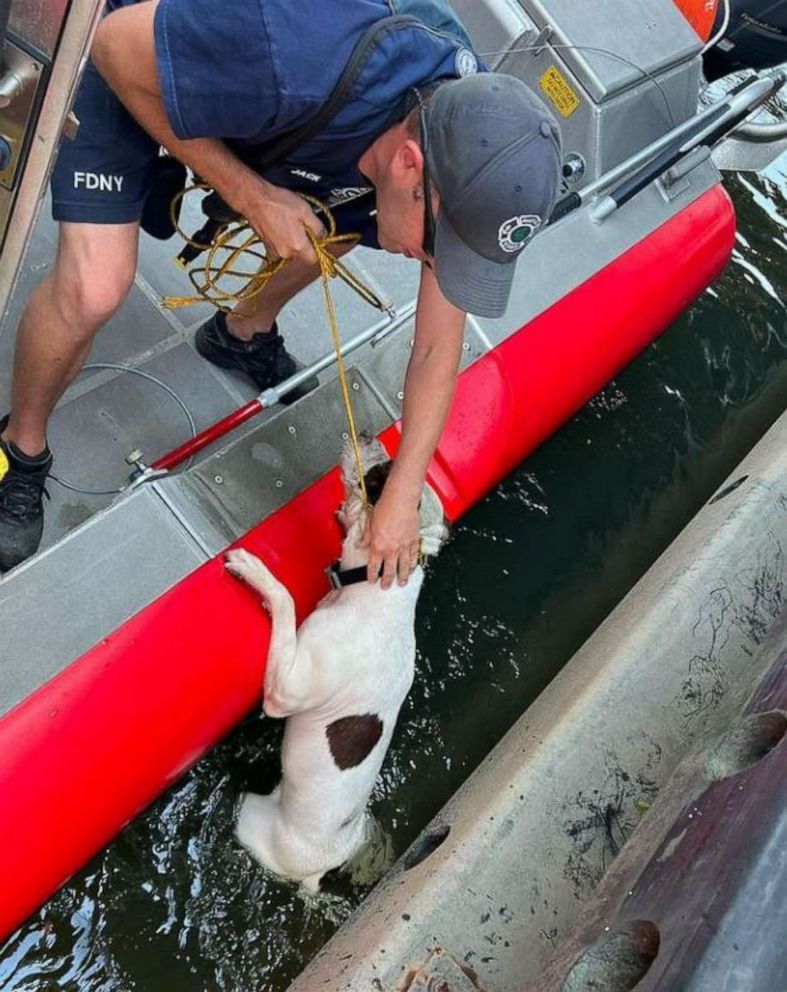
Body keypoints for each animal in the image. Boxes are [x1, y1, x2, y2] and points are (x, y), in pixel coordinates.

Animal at [228, 438, 446, 888]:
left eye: (378, 475)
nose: (369, 436)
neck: (376, 585)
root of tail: (316, 871)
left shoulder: (285, 689)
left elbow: (285, 600)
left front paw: (257, 574)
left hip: (249, 817)